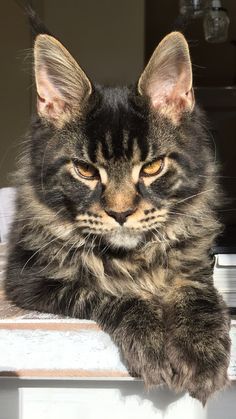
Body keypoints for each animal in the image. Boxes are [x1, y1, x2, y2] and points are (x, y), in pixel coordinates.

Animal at [4, 18, 231, 406]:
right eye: (85, 170)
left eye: (152, 167)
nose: (121, 213)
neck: (133, 258)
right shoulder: (29, 280)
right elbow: (116, 295)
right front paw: (152, 343)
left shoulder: (196, 264)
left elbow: (196, 296)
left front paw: (201, 352)